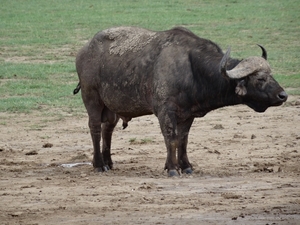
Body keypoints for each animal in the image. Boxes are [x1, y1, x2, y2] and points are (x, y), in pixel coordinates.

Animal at [74, 26, 288, 177]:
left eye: (271, 74)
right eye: (260, 78)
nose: (283, 95)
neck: (191, 69)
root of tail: (83, 51)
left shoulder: (187, 114)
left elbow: (183, 140)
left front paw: (185, 166)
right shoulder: (165, 111)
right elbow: (171, 138)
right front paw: (172, 168)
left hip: (112, 108)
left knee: (107, 129)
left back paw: (108, 162)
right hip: (92, 99)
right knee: (94, 127)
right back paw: (99, 164)